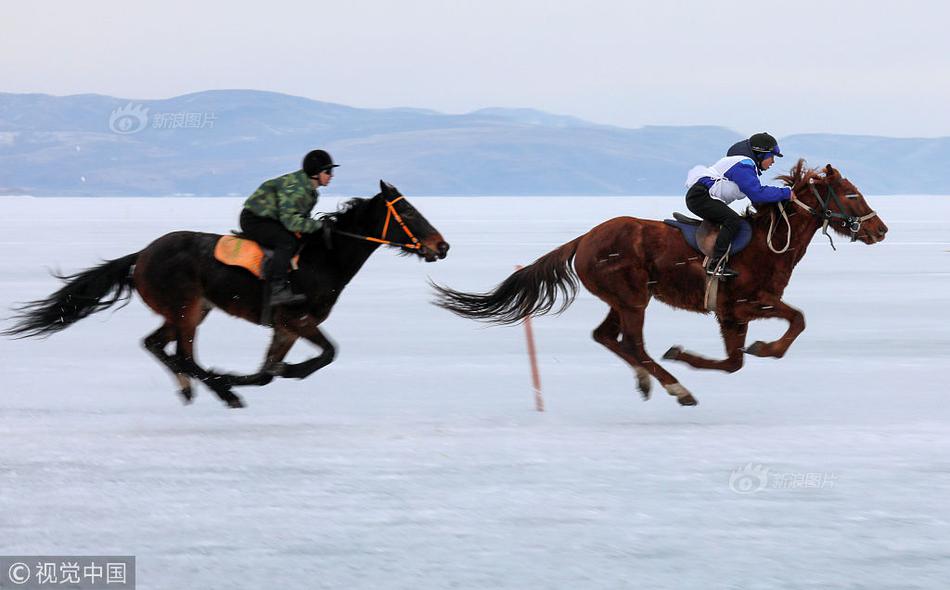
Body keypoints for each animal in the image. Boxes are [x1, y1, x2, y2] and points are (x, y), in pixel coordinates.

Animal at [4, 183, 450, 410]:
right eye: (408, 212)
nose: (442, 246)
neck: (324, 256)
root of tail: (142, 255)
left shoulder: (286, 328)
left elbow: (273, 370)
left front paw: (272, 372)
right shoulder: (296, 320)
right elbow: (325, 355)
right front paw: (246, 377)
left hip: (190, 310)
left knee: (156, 345)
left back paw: (192, 389)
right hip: (186, 309)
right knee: (182, 354)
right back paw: (222, 389)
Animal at [436, 164, 888, 410]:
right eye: (852, 194)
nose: (881, 230)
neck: (767, 242)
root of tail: (583, 239)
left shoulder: (731, 315)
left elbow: (734, 362)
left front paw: (716, 353)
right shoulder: (744, 304)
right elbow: (797, 320)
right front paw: (765, 348)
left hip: (623, 299)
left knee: (605, 336)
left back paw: (647, 380)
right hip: (634, 299)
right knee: (632, 343)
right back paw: (677, 387)